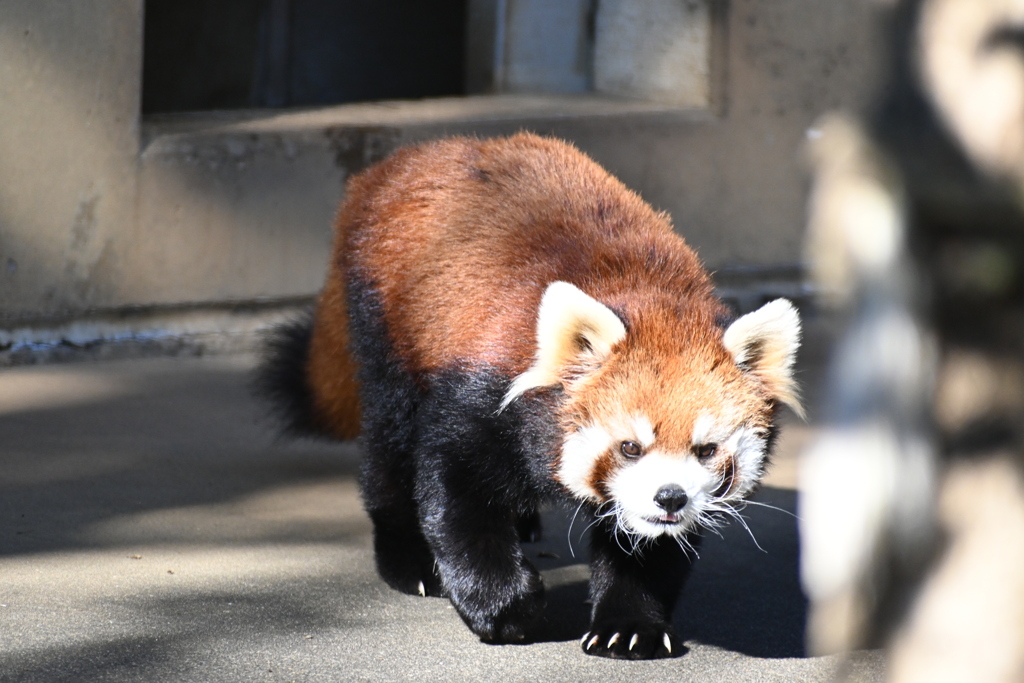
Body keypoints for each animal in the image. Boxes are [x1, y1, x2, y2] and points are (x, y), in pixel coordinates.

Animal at [260, 131, 802, 659]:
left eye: (705, 450)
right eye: (630, 446)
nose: (670, 496)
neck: (651, 299)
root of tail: (413, 157)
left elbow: (649, 545)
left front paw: (628, 625)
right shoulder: (481, 389)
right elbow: (457, 496)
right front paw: (501, 604)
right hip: (388, 326)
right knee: (389, 442)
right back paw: (406, 558)